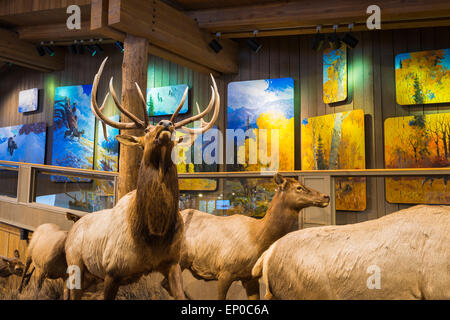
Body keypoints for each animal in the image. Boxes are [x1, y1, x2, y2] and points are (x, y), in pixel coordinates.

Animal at [65, 57, 221, 300]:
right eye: (147, 129)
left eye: (172, 127)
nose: (166, 124)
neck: (154, 233)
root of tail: (70, 229)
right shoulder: (112, 270)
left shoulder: (173, 263)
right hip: (76, 265)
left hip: (91, 276)